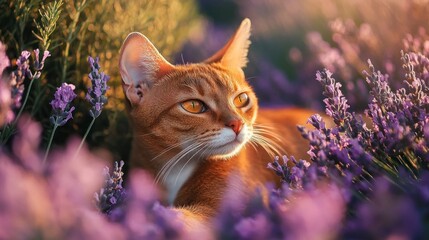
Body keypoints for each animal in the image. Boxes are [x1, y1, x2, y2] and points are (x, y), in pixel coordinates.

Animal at [118, 19, 316, 231]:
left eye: (241, 99)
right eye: (194, 105)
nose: (237, 123)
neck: (174, 170)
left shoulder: (221, 209)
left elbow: (178, 218)